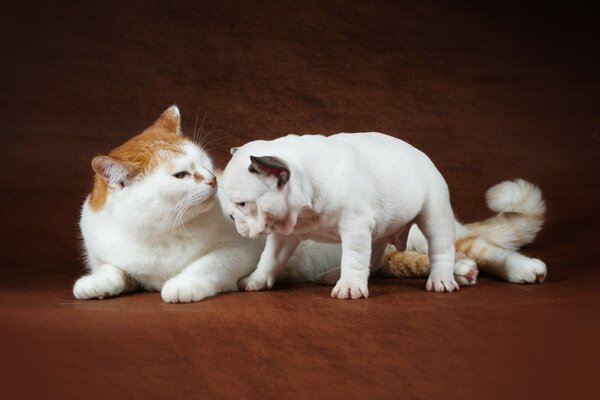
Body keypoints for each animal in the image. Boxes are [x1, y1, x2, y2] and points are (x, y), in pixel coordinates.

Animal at [223, 133, 458, 298]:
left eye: (242, 204)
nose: (231, 217)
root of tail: (423, 155)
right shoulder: (284, 234)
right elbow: (270, 258)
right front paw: (256, 280)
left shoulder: (355, 227)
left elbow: (352, 257)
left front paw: (350, 286)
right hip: (379, 229)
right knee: (373, 259)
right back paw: (335, 274)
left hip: (435, 211)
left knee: (440, 247)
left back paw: (441, 279)